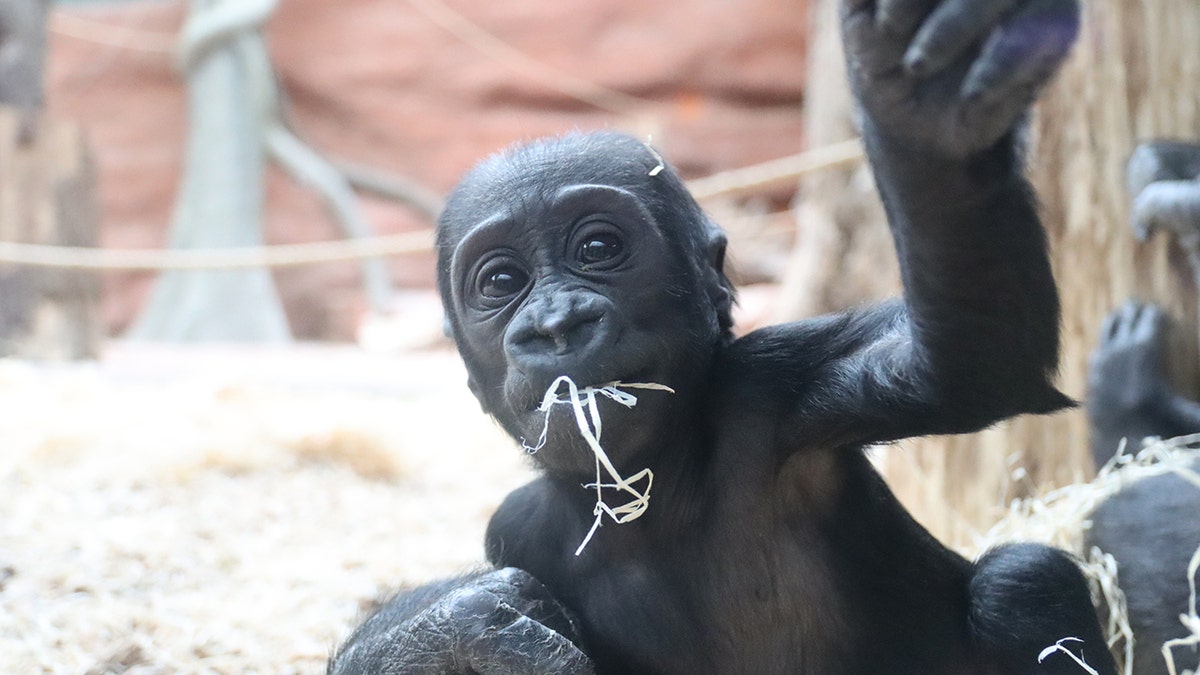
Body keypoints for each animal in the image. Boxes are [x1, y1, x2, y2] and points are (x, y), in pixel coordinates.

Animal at [328, 1, 1113, 672]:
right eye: (500, 283)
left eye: (599, 248)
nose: (556, 323)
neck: (655, 484)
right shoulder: (517, 527)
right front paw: (458, 623)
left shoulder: (778, 382)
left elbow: (968, 364)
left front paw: (917, 105)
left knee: (1022, 578)